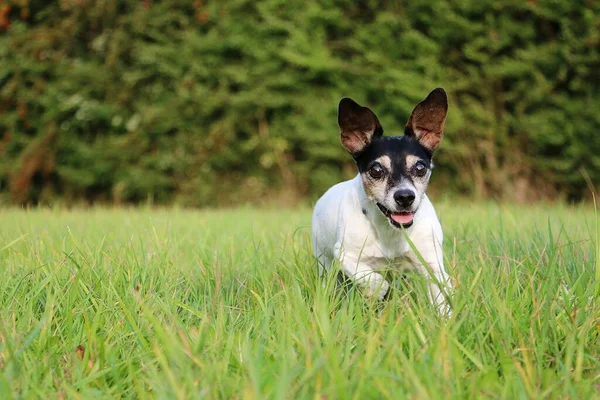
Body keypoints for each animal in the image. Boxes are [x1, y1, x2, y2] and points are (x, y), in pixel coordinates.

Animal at [312, 89, 452, 314]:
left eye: (420, 168)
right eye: (376, 170)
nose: (405, 196)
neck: (389, 231)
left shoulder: (432, 265)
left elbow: (441, 300)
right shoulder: (345, 255)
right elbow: (373, 280)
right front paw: (376, 292)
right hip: (324, 262)